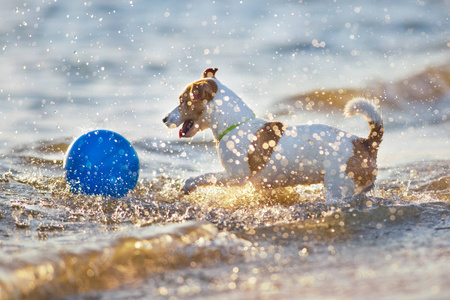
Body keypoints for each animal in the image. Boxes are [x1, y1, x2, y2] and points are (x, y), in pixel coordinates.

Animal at [163, 68, 384, 199]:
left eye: (182, 101)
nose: (164, 119)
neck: (236, 124)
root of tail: (366, 143)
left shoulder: (235, 176)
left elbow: (201, 177)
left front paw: (187, 185)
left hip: (337, 188)